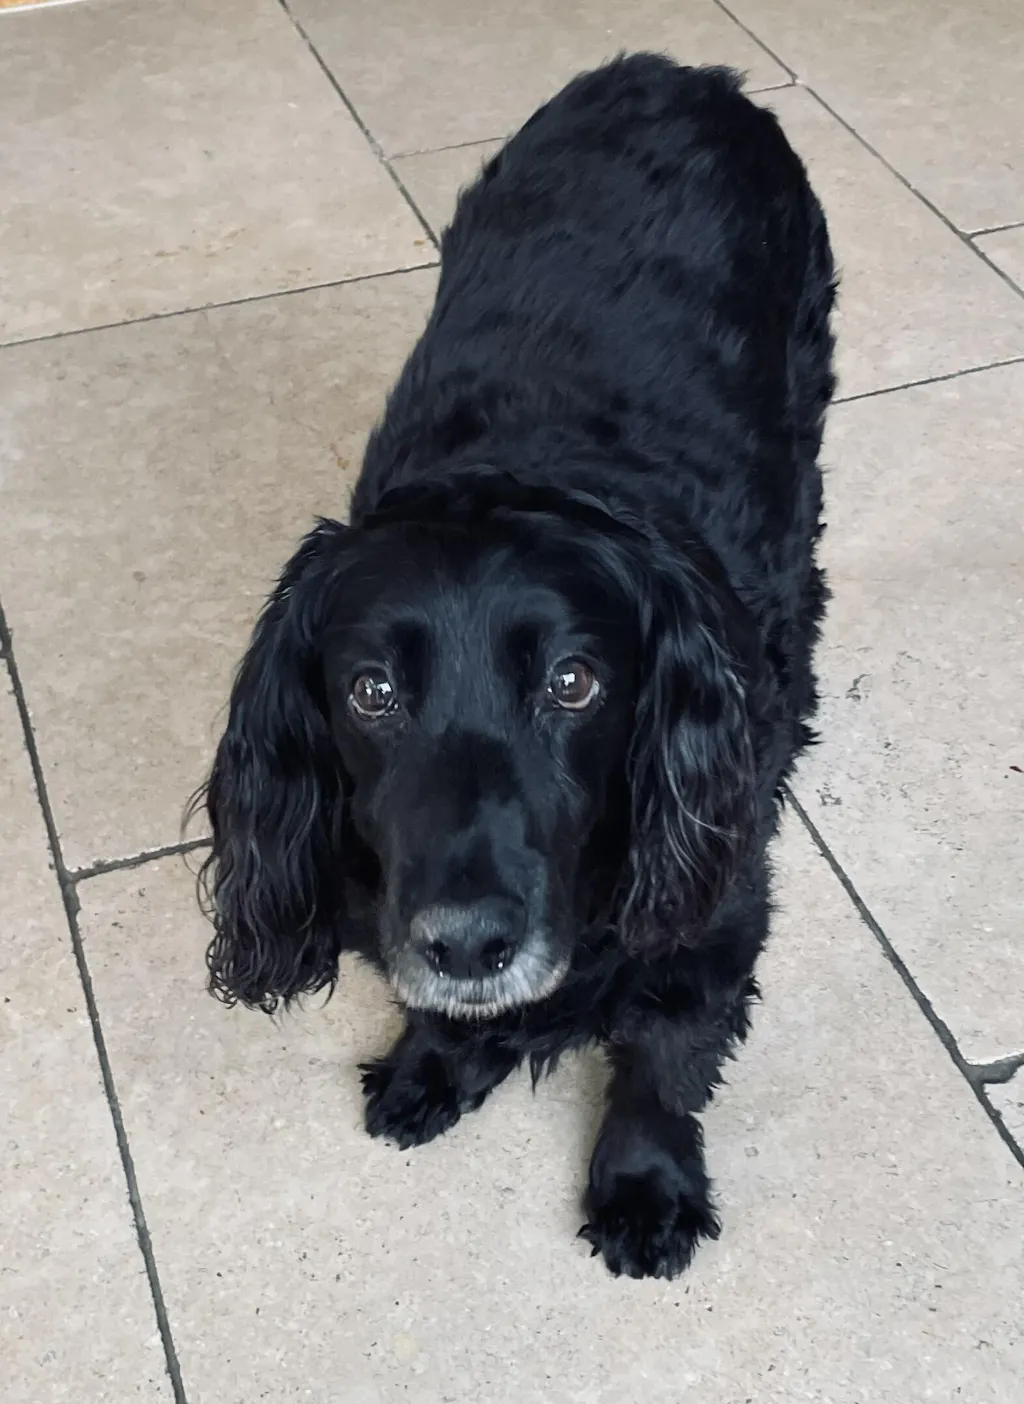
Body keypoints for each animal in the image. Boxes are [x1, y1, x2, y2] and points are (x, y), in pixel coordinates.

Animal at [194, 54, 836, 1280]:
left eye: (574, 683)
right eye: (371, 692)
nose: (472, 943)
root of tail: (685, 71)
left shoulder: (715, 901)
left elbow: (662, 1056)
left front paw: (644, 1188)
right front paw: (432, 1067)